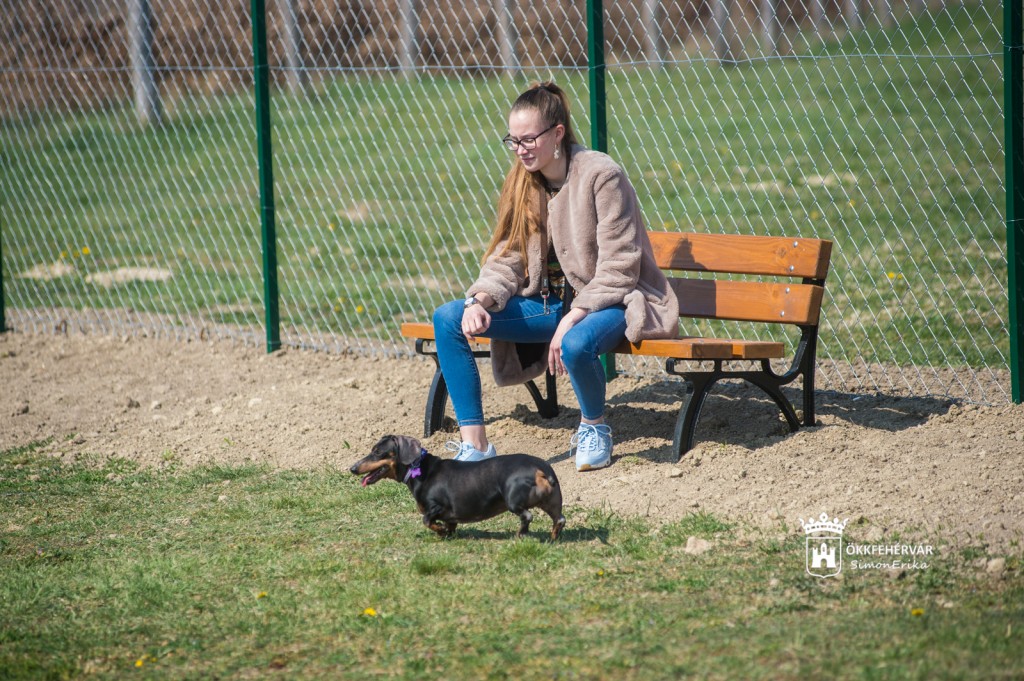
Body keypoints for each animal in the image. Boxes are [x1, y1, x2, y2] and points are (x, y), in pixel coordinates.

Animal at [350, 435, 565, 540]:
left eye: (377, 452)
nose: (352, 468)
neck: (419, 469)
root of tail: (540, 468)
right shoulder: (450, 516)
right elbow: (450, 525)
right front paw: (447, 533)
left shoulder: (436, 506)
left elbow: (426, 520)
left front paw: (440, 531)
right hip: (552, 502)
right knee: (560, 519)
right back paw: (553, 538)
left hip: (513, 500)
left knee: (527, 516)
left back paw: (520, 535)